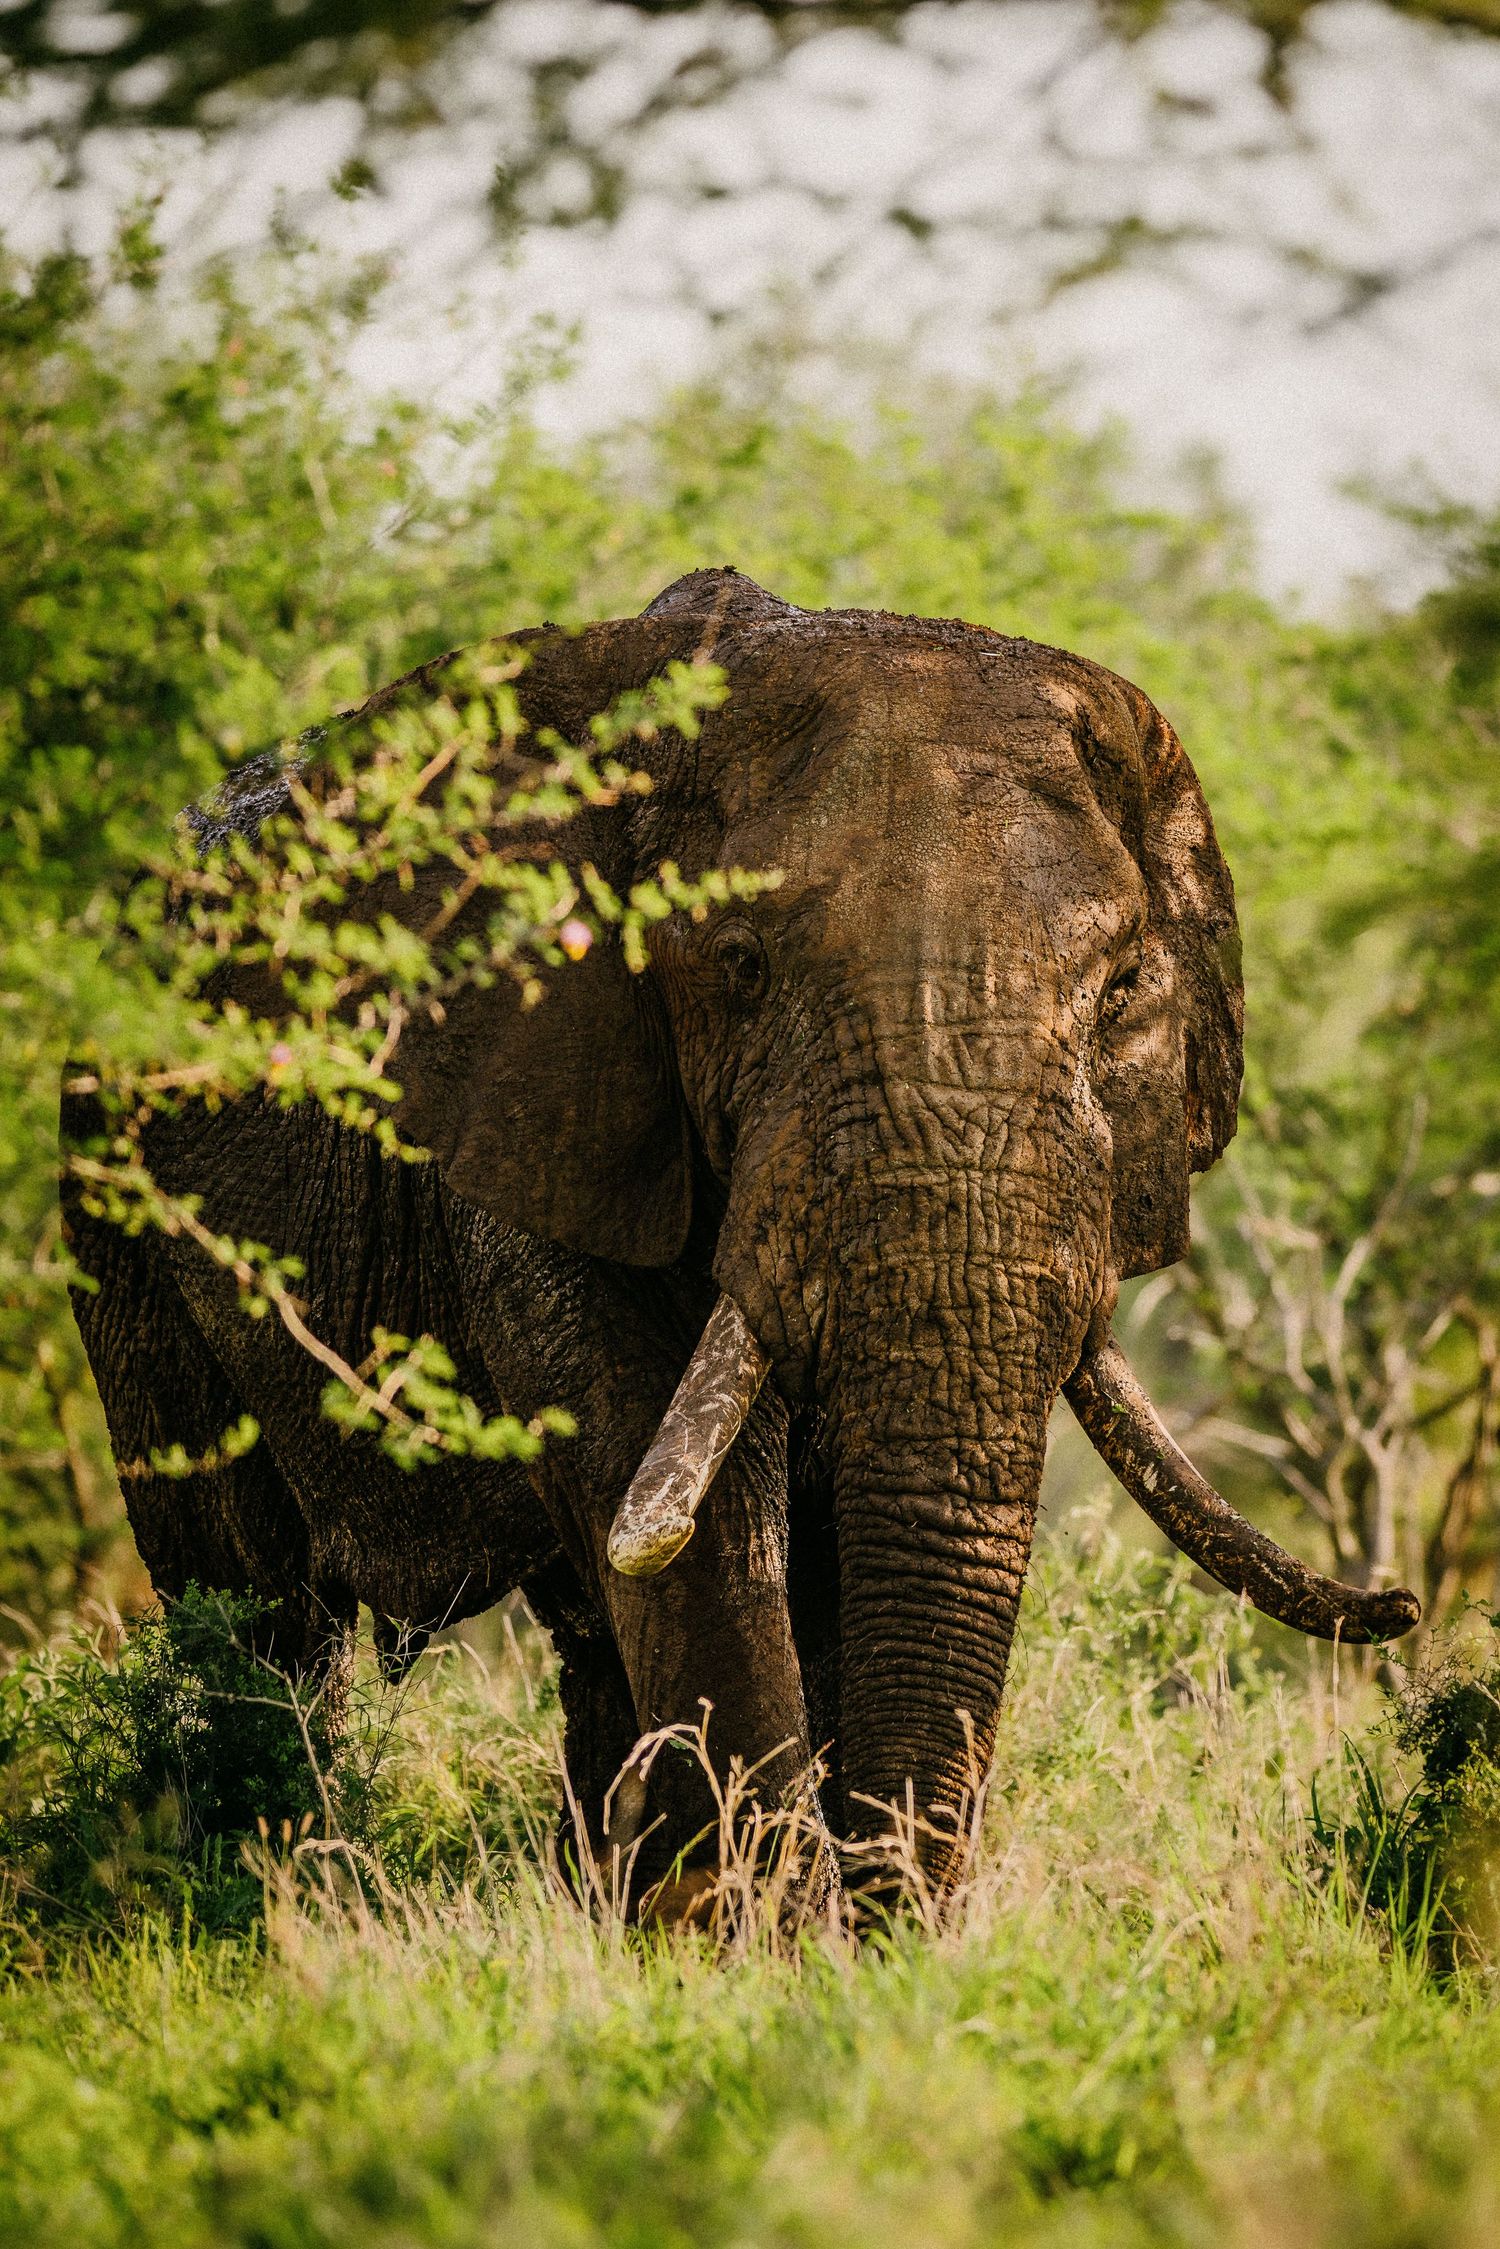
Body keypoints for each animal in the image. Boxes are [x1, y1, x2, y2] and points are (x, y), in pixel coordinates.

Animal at [62, 567, 1419, 1908]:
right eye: (739, 960)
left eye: (1127, 985)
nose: (1404, 1602)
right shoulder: (549, 1098)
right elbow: (675, 1501)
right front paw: (779, 1934)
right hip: (113, 1188)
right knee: (249, 1599)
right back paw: (268, 1889)